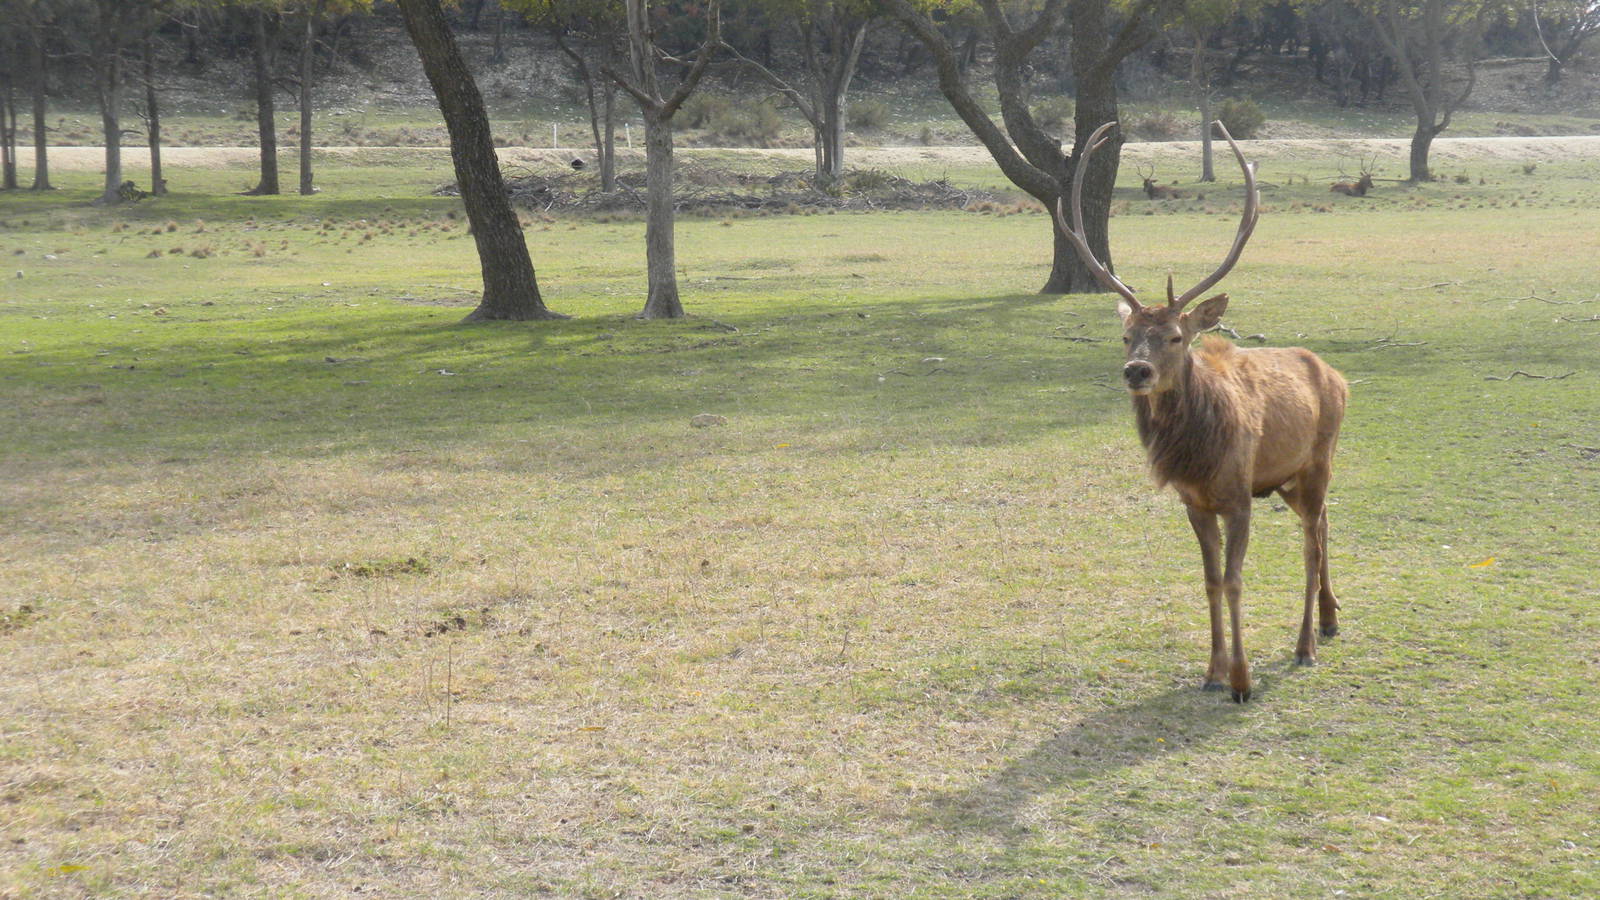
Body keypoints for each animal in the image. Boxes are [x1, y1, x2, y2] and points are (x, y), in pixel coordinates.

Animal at [1056, 121, 1349, 702]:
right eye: (1126, 335)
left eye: (1174, 335)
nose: (1137, 371)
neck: (1198, 456)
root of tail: (1337, 375)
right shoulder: (1194, 502)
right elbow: (1210, 580)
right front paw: (1212, 672)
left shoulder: (1238, 497)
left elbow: (1235, 581)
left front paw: (1242, 680)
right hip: (1285, 478)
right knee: (1324, 523)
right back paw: (1330, 619)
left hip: (1319, 459)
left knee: (1311, 543)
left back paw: (1305, 645)